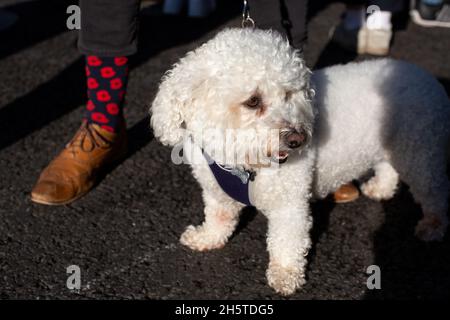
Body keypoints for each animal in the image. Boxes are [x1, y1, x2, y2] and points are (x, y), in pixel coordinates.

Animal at [149, 27, 448, 296]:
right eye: (253, 101)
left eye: (288, 94)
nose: (298, 139)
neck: (244, 163)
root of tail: (425, 76)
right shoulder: (216, 191)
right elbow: (219, 217)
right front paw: (207, 237)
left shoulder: (289, 202)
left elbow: (286, 241)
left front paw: (284, 275)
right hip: (393, 144)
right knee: (389, 167)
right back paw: (382, 188)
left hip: (419, 151)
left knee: (433, 191)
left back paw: (433, 226)